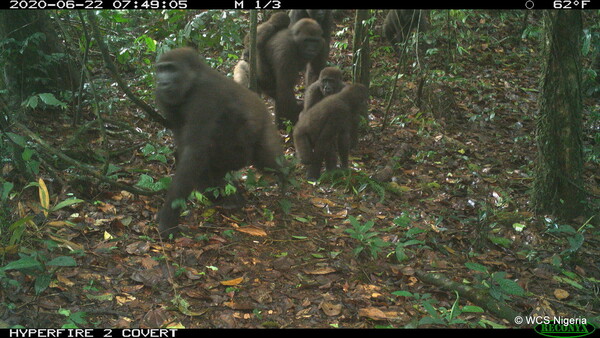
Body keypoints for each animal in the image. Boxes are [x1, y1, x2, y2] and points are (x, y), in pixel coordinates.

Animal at [155, 46, 286, 238]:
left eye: (171, 69)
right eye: (161, 70)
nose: (163, 82)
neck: (193, 81)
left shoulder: (206, 96)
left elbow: (193, 153)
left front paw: (167, 220)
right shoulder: (164, 99)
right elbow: (187, 151)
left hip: (257, 130)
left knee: (265, 159)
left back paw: (285, 177)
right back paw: (232, 197)